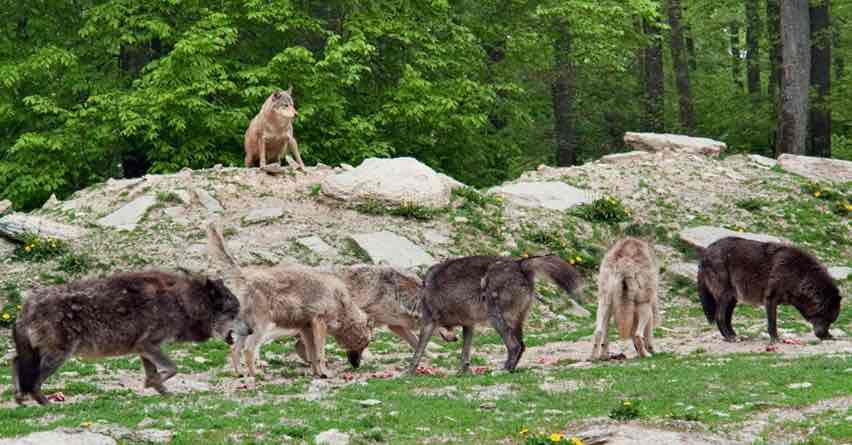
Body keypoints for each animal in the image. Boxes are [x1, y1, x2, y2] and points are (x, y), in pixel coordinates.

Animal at [11, 271, 251, 405]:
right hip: (58, 356)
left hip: (41, 354)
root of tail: (25, 308)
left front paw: (162, 391)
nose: (250, 330)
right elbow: (173, 368)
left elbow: (157, 374)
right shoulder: (149, 345)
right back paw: (44, 403)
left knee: (15, 363)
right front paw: (153, 384)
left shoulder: (144, 349)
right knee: (33, 380)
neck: (183, 302)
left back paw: (20, 398)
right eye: (235, 312)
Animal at [206, 223, 372, 378]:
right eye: (365, 344)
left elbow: (312, 354)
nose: (357, 366)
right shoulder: (320, 324)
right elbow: (320, 354)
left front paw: (317, 373)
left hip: (248, 329)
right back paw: (256, 375)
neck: (342, 303)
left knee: (234, 350)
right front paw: (325, 373)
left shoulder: (306, 328)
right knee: (248, 350)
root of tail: (245, 276)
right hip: (260, 328)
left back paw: (240, 373)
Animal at [407, 255, 581, 374]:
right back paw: (511, 369)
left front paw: (408, 373)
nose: (454, 339)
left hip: (495, 319)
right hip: (514, 322)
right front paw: (461, 373)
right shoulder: (469, 325)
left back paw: (504, 370)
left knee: (514, 346)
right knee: (522, 345)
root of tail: (519, 264)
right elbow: (465, 355)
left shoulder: (428, 322)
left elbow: (418, 352)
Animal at [698, 237, 842, 343]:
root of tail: (706, 252)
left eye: (831, 321)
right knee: (720, 316)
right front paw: (775, 339)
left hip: (733, 298)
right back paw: (730, 338)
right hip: (727, 295)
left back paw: (734, 336)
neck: (800, 276)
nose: (825, 336)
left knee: (727, 318)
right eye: (826, 319)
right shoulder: (770, 299)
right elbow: (772, 323)